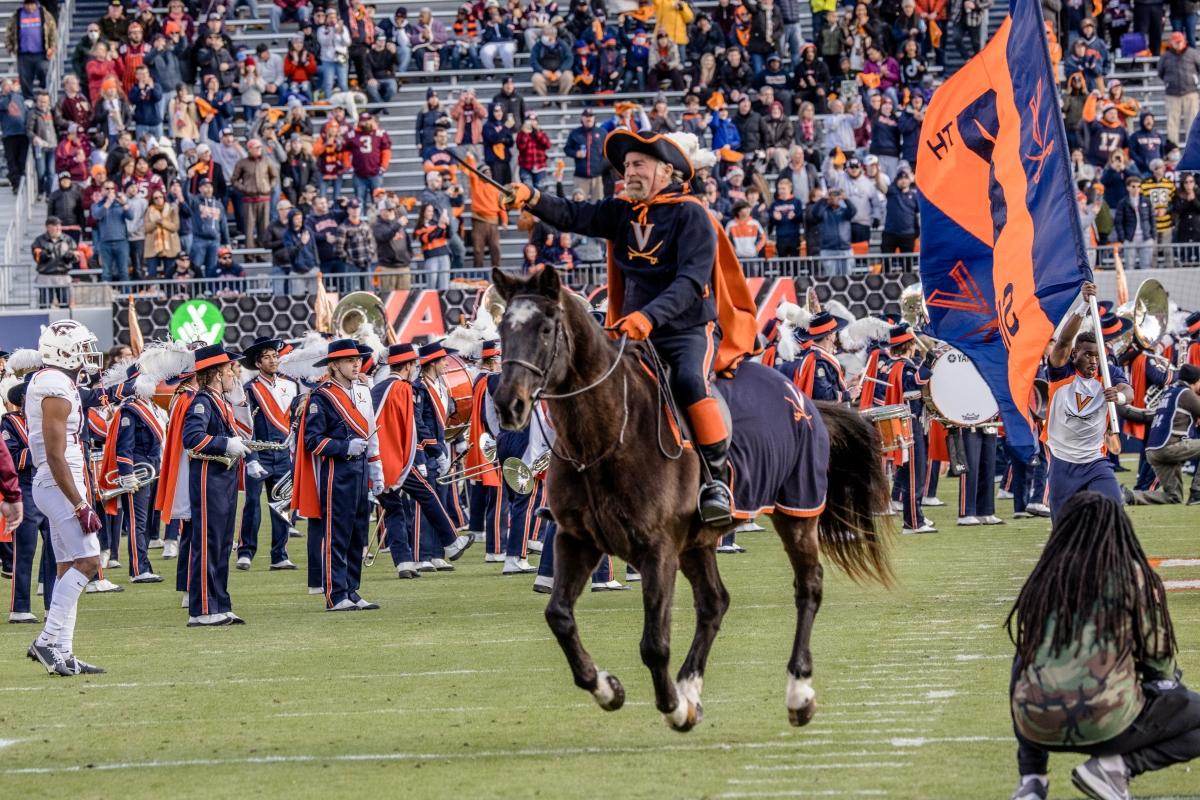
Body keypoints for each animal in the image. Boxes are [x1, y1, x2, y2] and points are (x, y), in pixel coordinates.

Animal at [487, 267, 892, 734]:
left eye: (546, 328)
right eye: (503, 328)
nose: (508, 404)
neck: (606, 436)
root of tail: (801, 397)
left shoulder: (657, 548)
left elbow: (653, 643)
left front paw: (672, 706)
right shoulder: (577, 539)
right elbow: (559, 617)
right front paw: (608, 687)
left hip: (797, 513)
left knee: (808, 588)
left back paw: (798, 690)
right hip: (698, 542)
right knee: (714, 602)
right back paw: (691, 686)